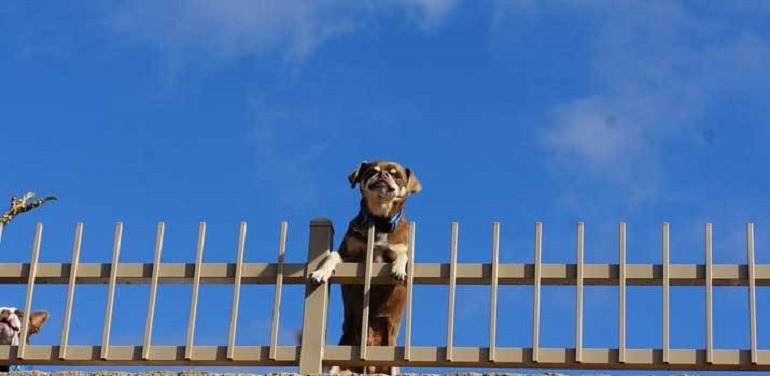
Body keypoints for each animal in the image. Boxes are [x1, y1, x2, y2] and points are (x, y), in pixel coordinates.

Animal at [308, 160, 420, 374]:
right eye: (372, 171)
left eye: (397, 175)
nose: (383, 175)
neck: (379, 221)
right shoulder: (349, 255)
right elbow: (333, 255)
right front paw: (321, 272)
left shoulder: (400, 248)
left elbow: (403, 255)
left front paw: (398, 269)